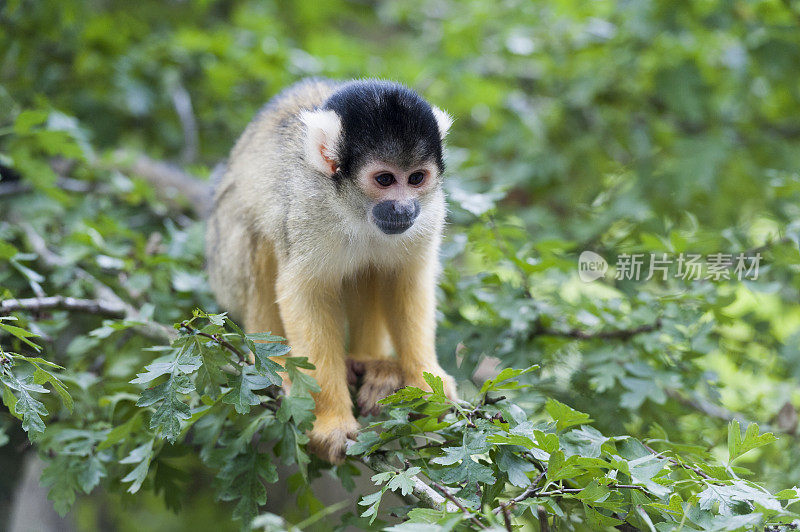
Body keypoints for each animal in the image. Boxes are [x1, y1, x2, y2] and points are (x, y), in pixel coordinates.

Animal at [206, 78, 456, 462]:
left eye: (416, 178)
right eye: (385, 179)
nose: (403, 208)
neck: (357, 210)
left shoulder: (429, 213)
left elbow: (406, 281)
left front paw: (428, 382)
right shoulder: (309, 207)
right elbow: (305, 294)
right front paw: (330, 422)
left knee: (370, 270)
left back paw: (373, 363)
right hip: (223, 259)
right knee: (259, 238)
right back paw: (271, 364)